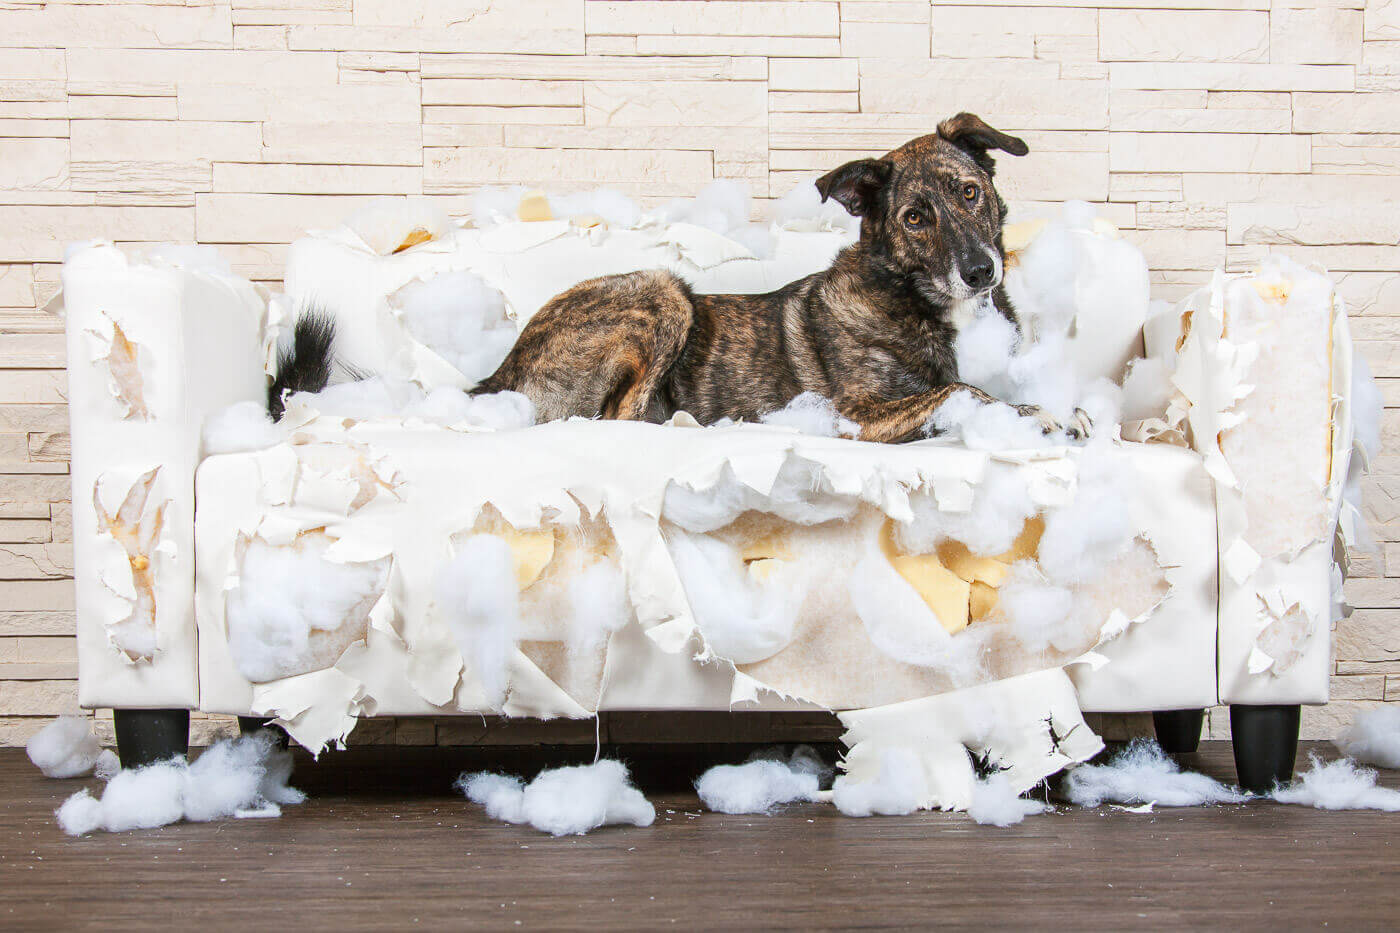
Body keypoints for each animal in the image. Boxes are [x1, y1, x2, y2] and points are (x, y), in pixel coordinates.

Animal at [275, 110, 1080, 442]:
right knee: (617, 418)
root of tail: (500, 370)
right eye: (915, 217)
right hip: (659, 291)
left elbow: (979, 382)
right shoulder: (858, 413)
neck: (919, 297)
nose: (981, 270)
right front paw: (1046, 416)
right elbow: (961, 389)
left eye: (969, 193)